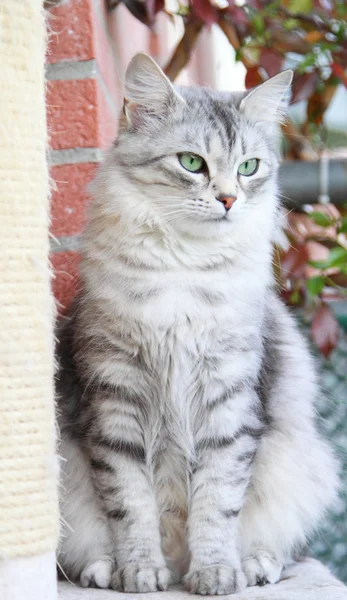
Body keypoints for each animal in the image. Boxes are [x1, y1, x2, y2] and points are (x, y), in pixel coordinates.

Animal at [57, 52, 340, 596]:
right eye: (192, 163)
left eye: (249, 167)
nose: (229, 199)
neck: (183, 271)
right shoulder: (115, 396)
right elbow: (131, 505)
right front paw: (141, 572)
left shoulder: (228, 400)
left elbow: (216, 503)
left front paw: (214, 574)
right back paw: (106, 570)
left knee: (272, 544)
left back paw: (253, 566)